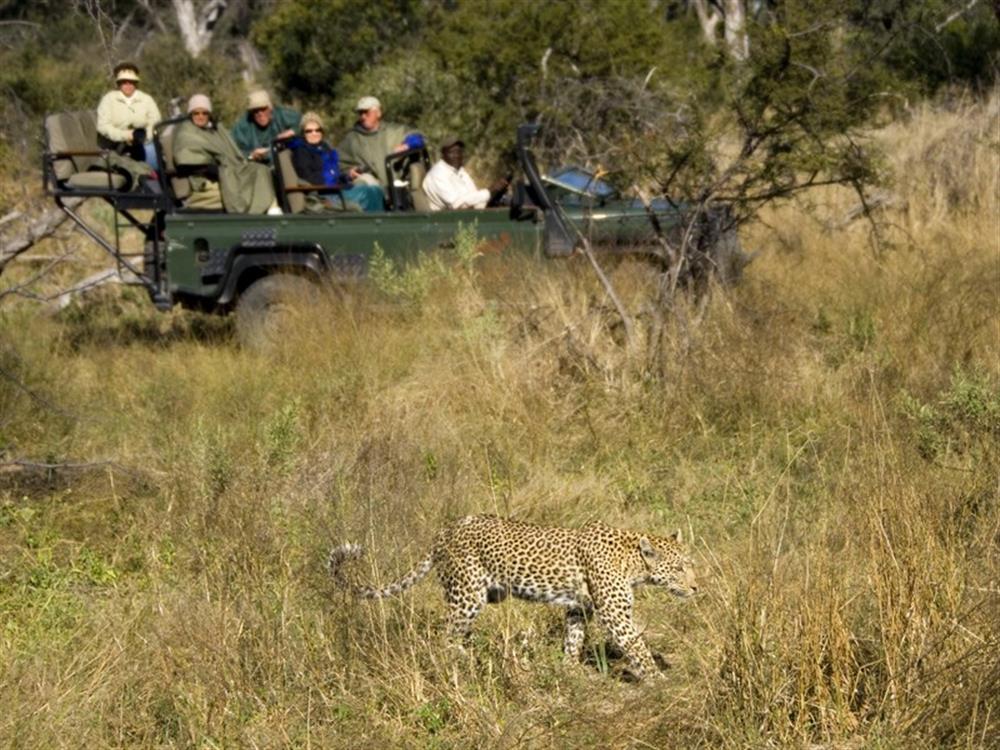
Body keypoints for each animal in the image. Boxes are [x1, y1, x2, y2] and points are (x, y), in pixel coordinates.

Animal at [328, 516, 696, 680]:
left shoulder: (579, 607)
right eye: (679, 569)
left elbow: (574, 638)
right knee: (445, 636)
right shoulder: (615, 613)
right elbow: (637, 646)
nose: (695, 588)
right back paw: (467, 661)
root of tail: (445, 531)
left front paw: (568, 669)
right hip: (468, 595)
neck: (633, 561)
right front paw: (658, 681)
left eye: (691, 565)